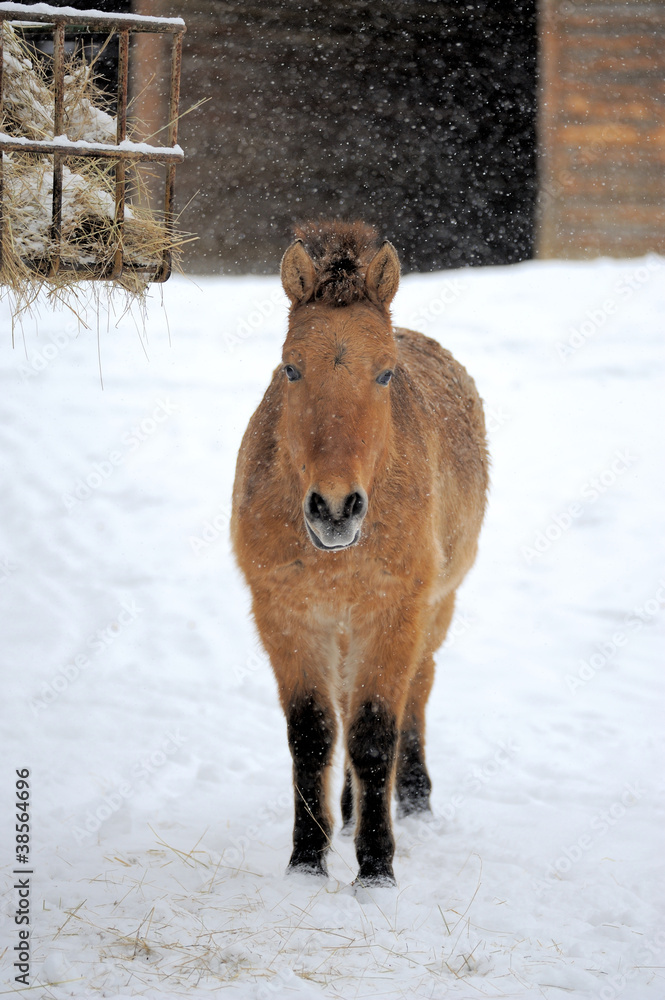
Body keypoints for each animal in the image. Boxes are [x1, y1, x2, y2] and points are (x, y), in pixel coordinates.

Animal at [232, 223, 488, 888]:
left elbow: (375, 735)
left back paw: (414, 799)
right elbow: (314, 735)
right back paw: (346, 816)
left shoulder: (394, 614)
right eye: (290, 368)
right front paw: (307, 861)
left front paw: (376, 871)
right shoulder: (286, 615)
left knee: (416, 692)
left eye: (386, 374)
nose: (334, 508)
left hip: (436, 609)